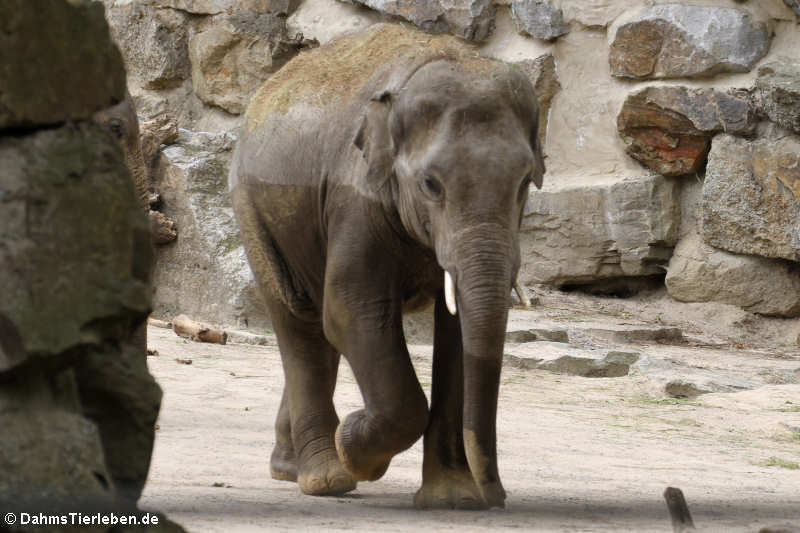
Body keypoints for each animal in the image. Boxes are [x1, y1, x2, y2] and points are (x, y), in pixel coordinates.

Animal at [228, 22, 548, 510]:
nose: (498, 497)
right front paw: (358, 453)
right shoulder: (355, 197)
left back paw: (289, 468)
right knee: (299, 320)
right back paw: (328, 477)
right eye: (430, 184)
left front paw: (453, 499)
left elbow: (456, 332)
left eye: (525, 183)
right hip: (253, 209)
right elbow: (351, 310)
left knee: (318, 331)